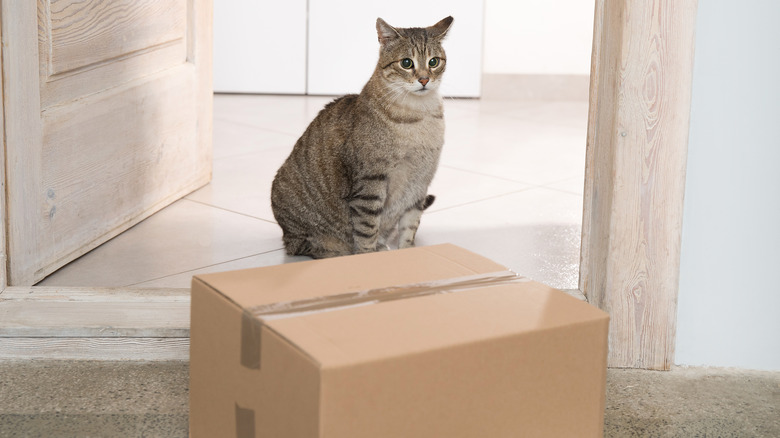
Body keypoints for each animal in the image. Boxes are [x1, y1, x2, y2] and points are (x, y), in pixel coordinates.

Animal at [272, 15, 454, 258]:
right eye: (407, 63)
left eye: (434, 62)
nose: (424, 80)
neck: (418, 117)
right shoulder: (371, 182)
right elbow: (367, 228)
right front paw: (367, 256)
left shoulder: (419, 184)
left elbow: (409, 227)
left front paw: (406, 252)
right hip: (298, 220)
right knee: (306, 246)